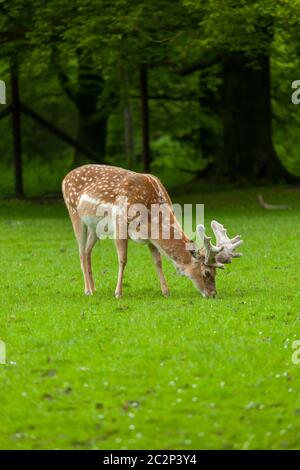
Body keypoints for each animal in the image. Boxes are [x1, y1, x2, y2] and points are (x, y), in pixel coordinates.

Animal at [62, 164, 243, 298]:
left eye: (216, 272)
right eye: (206, 272)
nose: (213, 294)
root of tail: (64, 178)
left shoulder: (150, 237)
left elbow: (158, 261)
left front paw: (166, 292)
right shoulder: (120, 222)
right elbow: (123, 259)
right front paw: (118, 293)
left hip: (96, 228)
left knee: (87, 251)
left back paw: (93, 288)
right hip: (74, 212)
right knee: (80, 251)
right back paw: (88, 290)